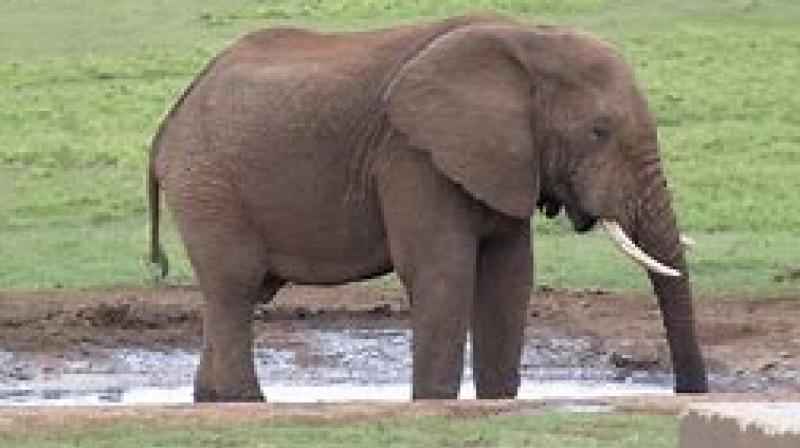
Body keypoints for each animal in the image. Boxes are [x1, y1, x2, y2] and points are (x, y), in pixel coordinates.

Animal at [147, 14, 708, 402]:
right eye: (599, 132)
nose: (690, 391)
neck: (528, 37)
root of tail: (171, 118)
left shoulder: (501, 161)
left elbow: (509, 278)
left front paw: (497, 401)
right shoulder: (412, 156)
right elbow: (444, 272)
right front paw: (434, 403)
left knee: (232, 293)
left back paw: (209, 399)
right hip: (208, 181)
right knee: (236, 286)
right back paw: (245, 402)